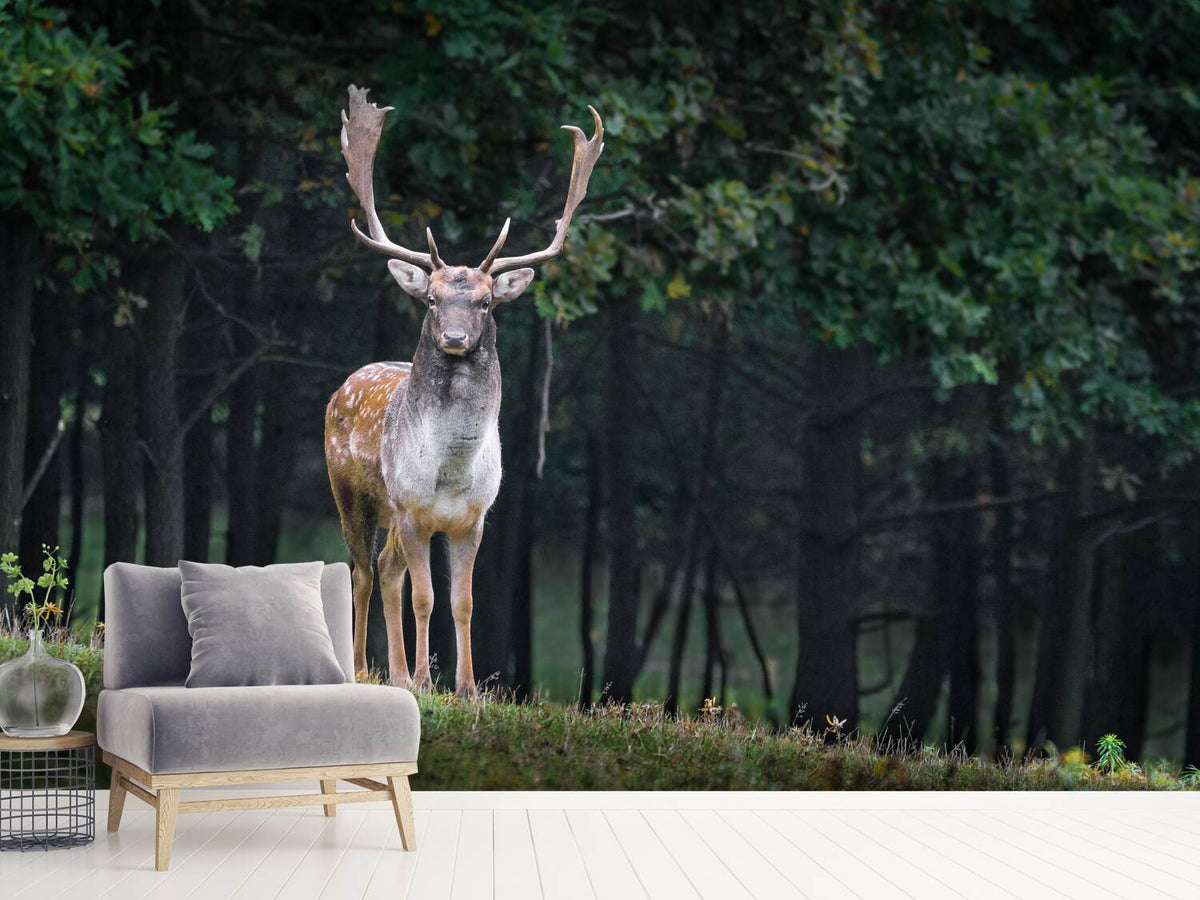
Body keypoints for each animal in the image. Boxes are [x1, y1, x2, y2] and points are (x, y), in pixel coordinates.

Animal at [325, 85, 604, 694]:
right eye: (431, 298)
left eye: (485, 302)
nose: (454, 337)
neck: (451, 471)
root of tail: (344, 385)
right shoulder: (412, 509)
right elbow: (425, 598)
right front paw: (426, 681)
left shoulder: (474, 518)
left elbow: (463, 602)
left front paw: (468, 687)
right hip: (352, 493)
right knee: (363, 571)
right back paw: (365, 670)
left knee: (386, 571)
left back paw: (395, 673)